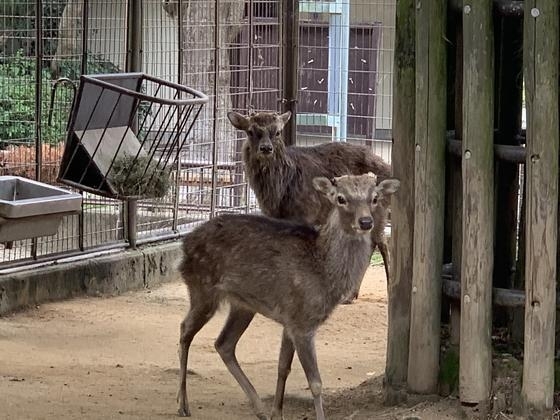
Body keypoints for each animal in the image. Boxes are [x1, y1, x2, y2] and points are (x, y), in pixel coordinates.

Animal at [177, 172, 400, 418]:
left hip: (243, 305)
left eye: (375, 197)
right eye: (341, 198)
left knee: (223, 344)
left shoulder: (290, 319)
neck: (324, 273)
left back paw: (259, 408)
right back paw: (183, 404)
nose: (366, 222)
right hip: (202, 289)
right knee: (185, 331)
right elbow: (315, 383)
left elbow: (283, 367)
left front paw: (277, 413)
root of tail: (185, 244)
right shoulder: (302, 323)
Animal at [228, 111, 394, 302]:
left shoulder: (306, 214)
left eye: (277, 132)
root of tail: (387, 167)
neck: (280, 192)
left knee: (380, 243)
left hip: (378, 210)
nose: (266, 148)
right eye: (250, 131)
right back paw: (352, 294)